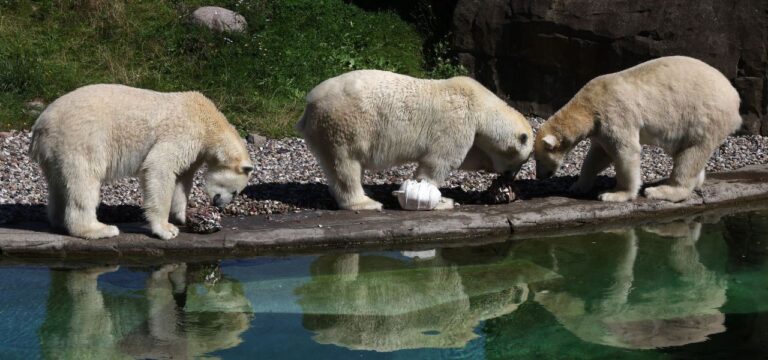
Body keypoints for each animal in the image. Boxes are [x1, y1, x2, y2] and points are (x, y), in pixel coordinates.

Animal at [30, 84, 254, 239]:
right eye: (235, 192)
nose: (220, 206)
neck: (207, 121)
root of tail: (41, 124)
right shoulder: (184, 132)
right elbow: (159, 167)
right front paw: (166, 229)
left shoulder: (195, 152)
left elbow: (182, 180)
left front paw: (184, 216)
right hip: (81, 139)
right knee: (84, 181)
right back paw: (99, 229)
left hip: (56, 149)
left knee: (59, 183)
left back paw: (59, 222)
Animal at [296, 69, 536, 210]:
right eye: (522, 161)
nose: (510, 178)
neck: (480, 105)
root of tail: (308, 107)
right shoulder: (456, 122)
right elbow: (438, 163)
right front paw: (442, 200)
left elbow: (471, 157)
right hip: (343, 125)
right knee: (345, 166)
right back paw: (366, 202)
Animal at [536, 56, 744, 202]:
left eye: (538, 159)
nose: (539, 176)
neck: (588, 105)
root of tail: (735, 97)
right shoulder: (600, 129)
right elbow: (598, 155)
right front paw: (577, 186)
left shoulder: (614, 114)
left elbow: (625, 152)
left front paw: (613, 194)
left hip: (704, 118)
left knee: (691, 153)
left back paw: (660, 191)